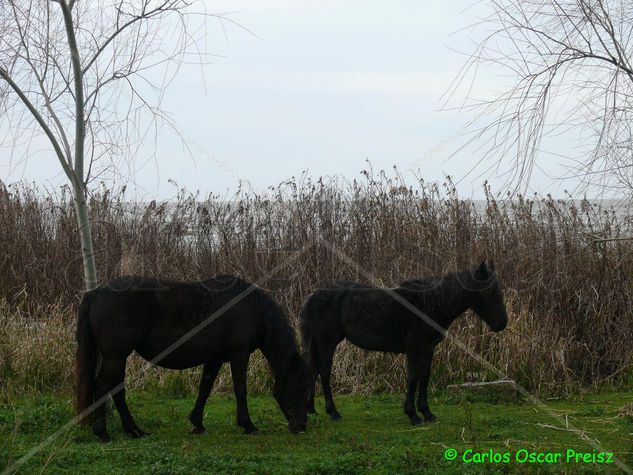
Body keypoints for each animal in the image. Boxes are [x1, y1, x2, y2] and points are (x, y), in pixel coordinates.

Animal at [76, 276, 308, 442]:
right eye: (298, 387)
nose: (301, 427)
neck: (251, 308)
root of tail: (97, 292)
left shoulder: (215, 358)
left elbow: (205, 388)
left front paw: (197, 423)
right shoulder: (239, 355)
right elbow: (240, 389)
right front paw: (248, 425)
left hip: (117, 357)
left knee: (116, 390)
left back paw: (134, 431)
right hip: (116, 356)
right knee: (103, 387)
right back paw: (104, 433)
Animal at [302, 262, 508, 426]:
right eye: (490, 291)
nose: (502, 324)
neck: (429, 304)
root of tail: (313, 296)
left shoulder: (428, 348)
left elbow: (424, 377)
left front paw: (427, 413)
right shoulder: (414, 348)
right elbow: (413, 377)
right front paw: (413, 415)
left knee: (313, 371)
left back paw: (311, 410)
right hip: (327, 341)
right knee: (324, 372)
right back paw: (333, 412)